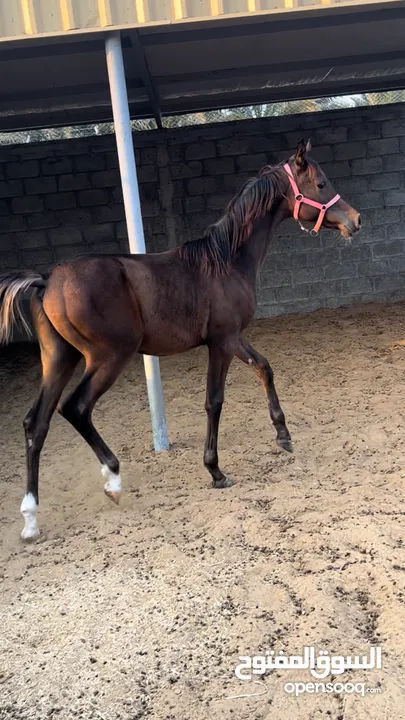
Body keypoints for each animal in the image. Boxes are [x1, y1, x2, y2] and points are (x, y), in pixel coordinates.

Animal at [0, 139, 360, 540]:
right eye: (322, 183)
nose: (355, 220)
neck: (226, 261)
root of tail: (46, 280)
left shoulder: (232, 338)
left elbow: (264, 368)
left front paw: (283, 435)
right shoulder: (221, 342)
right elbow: (214, 401)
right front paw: (215, 470)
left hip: (59, 359)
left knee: (36, 423)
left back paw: (30, 519)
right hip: (107, 358)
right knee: (75, 408)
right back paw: (113, 480)